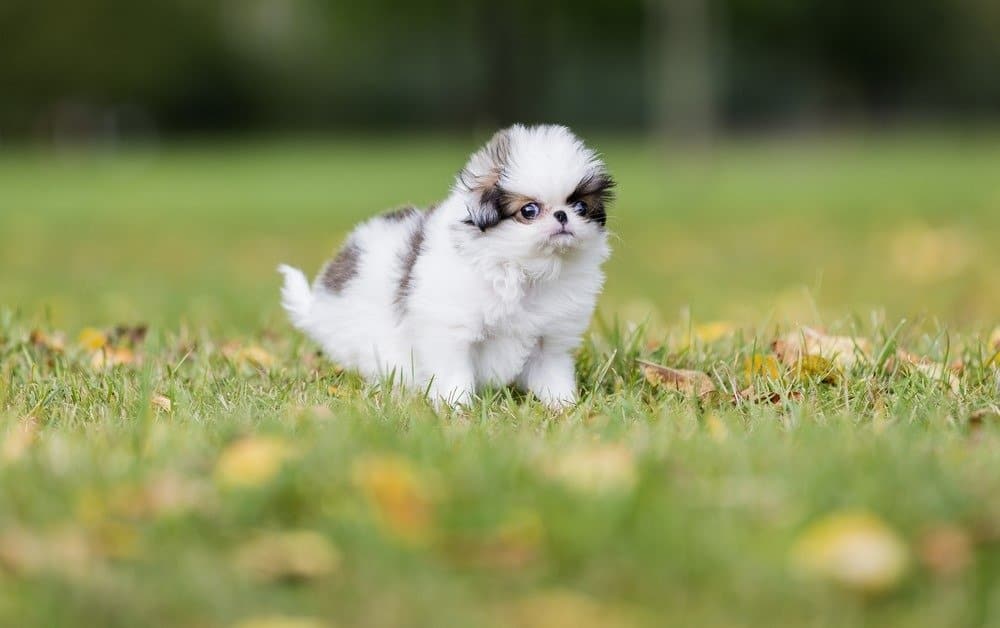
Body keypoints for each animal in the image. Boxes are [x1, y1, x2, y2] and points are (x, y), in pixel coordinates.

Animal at [278, 124, 612, 408]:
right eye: (529, 211)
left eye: (580, 206)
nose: (562, 215)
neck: (522, 270)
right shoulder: (451, 330)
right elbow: (455, 372)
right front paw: (457, 407)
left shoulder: (550, 340)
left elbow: (553, 374)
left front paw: (563, 406)